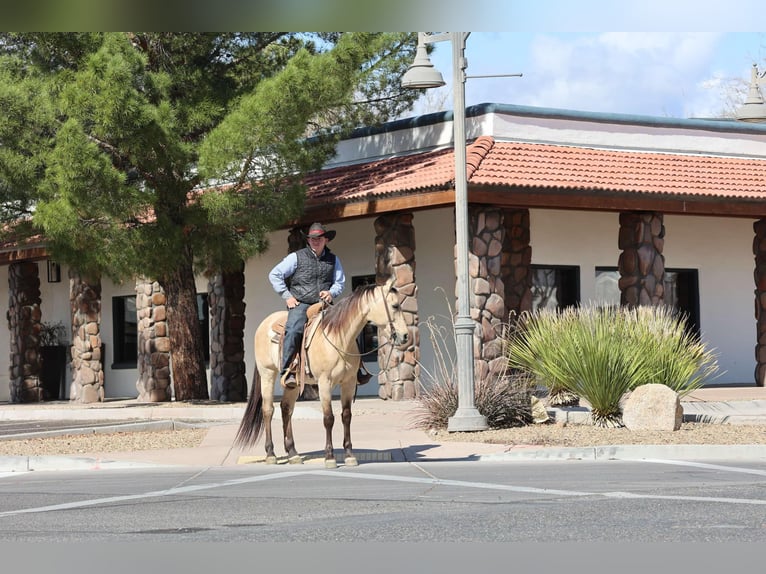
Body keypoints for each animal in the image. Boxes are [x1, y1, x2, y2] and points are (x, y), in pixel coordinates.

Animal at [234, 276, 412, 470]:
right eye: (395, 305)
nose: (405, 336)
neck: (338, 337)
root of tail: (264, 323)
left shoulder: (349, 383)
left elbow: (346, 416)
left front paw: (349, 455)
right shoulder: (324, 383)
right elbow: (328, 418)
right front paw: (330, 457)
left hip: (293, 384)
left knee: (286, 409)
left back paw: (293, 453)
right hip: (267, 373)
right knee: (268, 410)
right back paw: (271, 454)